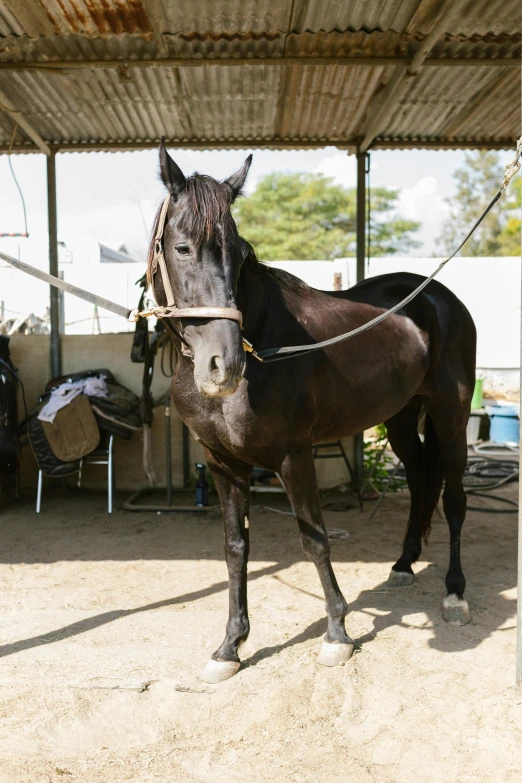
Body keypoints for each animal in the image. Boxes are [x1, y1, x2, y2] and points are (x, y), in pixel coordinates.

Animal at [148, 142, 474, 688]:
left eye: (241, 255)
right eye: (183, 248)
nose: (224, 362)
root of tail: (436, 296)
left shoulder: (293, 457)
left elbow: (315, 541)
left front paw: (337, 636)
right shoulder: (222, 463)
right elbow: (235, 548)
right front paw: (229, 648)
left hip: (452, 415)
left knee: (453, 499)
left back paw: (454, 592)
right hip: (401, 418)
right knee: (419, 480)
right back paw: (403, 565)